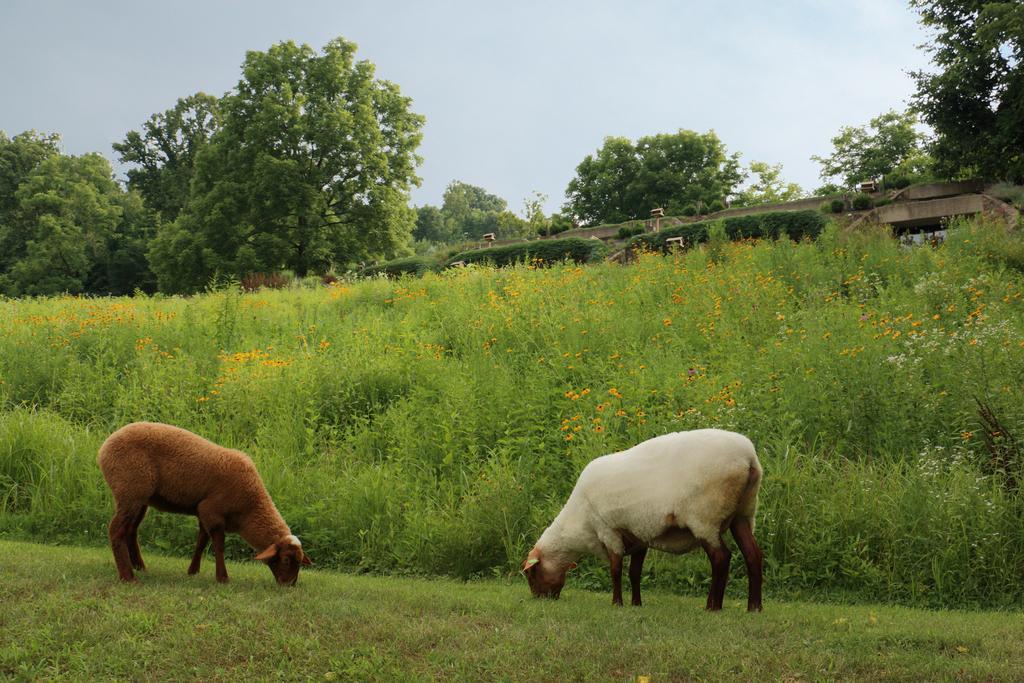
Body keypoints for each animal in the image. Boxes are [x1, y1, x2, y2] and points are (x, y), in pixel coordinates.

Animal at [97, 421, 309, 589]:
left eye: (299, 562)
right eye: (286, 559)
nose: (290, 585)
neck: (249, 508)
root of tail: (104, 447)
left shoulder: (203, 512)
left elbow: (201, 541)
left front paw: (193, 571)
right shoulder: (212, 512)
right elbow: (218, 545)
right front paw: (222, 578)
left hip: (140, 498)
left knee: (130, 530)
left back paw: (139, 566)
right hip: (130, 490)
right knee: (116, 530)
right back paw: (128, 576)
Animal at [528, 430, 761, 610]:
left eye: (531, 575)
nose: (539, 599)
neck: (578, 525)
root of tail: (749, 458)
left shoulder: (608, 531)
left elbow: (615, 570)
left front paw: (617, 603)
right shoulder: (638, 536)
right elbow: (634, 572)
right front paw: (636, 603)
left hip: (705, 518)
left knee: (721, 559)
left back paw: (713, 606)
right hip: (743, 514)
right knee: (753, 555)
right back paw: (754, 607)